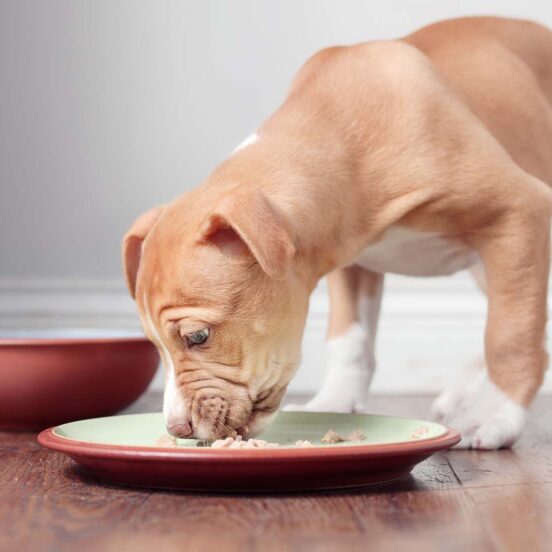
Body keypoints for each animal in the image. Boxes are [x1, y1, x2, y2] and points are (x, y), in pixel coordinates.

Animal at [123, 17, 552, 448]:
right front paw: (334, 401)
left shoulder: (521, 211)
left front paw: (496, 415)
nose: (177, 428)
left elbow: (509, 336)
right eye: (154, 344)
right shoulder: (349, 261)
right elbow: (349, 339)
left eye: (197, 336)